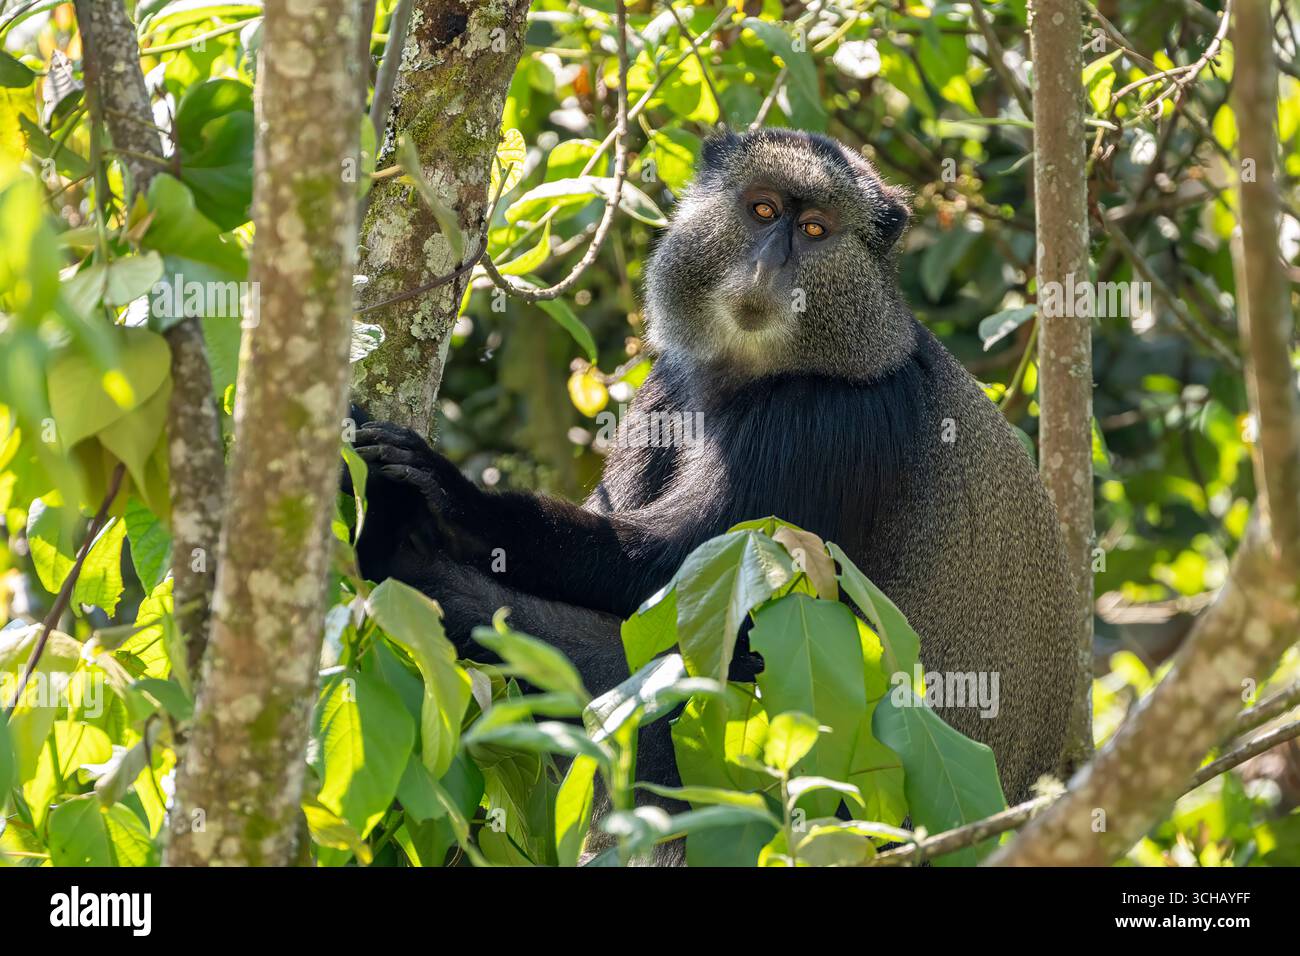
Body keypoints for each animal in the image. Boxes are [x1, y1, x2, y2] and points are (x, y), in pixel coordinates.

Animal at [351, 127, 1076, 863]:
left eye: (815, 230)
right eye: (762, 211)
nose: (769, 265)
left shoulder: (829, 423)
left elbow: (673, 567)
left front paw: (454, 500)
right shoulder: (669, 385)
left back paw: (412, 564)